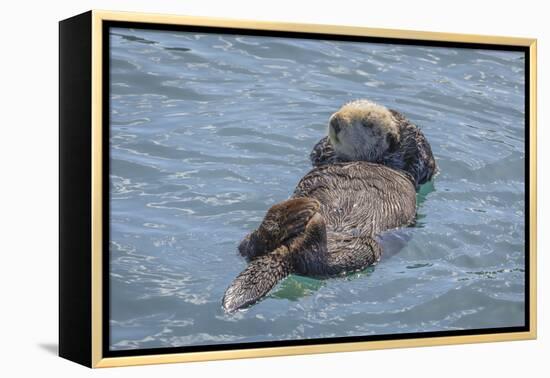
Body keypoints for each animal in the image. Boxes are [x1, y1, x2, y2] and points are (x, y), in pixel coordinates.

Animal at [222, 99, 438, 312]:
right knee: (250, 245)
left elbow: (421, 156)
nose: (336, 121)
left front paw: (400, 129)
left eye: (367, 124)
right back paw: (295, 214)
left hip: (362, 250)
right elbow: (319, 149)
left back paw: (309, 222)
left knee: (315, 260)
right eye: (344, 107)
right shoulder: (323, 156)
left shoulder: (417, 169)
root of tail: (288, 250)